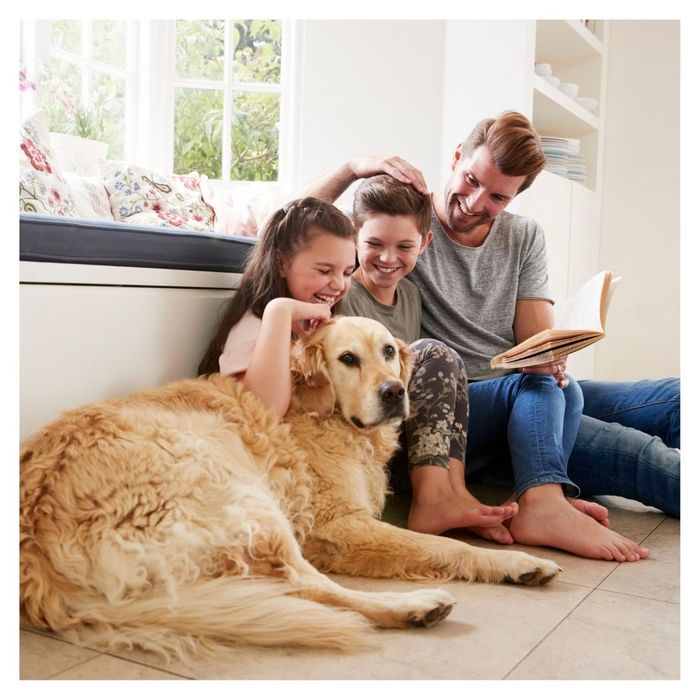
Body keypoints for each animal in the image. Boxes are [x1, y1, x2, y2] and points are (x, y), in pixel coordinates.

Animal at [19, 318, 560, 660]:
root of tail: (36, 553)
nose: (395, 391)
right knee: (305, 585)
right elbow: (442, 545)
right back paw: (414, 607)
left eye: (388, 351)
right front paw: (515, 562)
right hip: (241, 494)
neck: (328, 416)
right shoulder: (335, 526)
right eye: (347, 359)